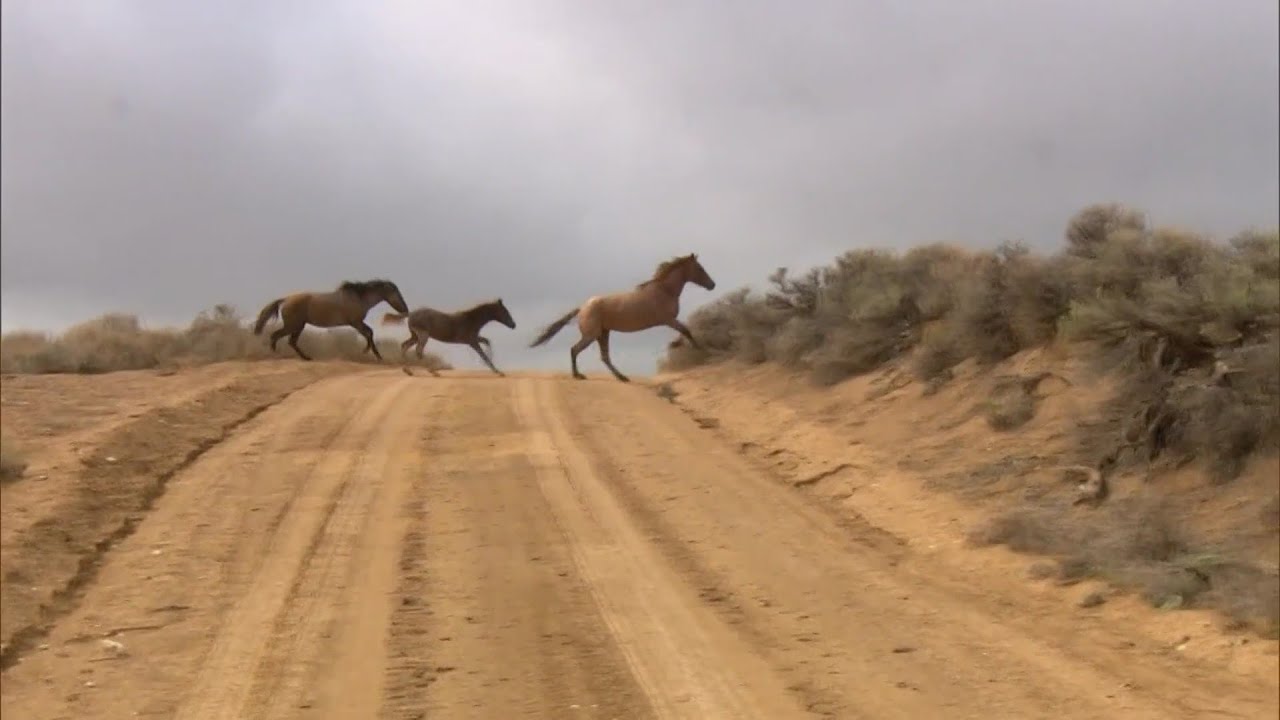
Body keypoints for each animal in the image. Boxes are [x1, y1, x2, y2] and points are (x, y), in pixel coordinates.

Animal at [252, 279, 409, 362]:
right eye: (396, 293)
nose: (405, 308)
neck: (359, 298)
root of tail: (286, 299)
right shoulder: (355, 323)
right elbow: (369, 333)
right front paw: (372, 353)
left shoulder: (357, 323)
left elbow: (369, 332)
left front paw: (371, 352)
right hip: (293, 325)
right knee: (276, 336)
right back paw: (276, 355)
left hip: (298, 326)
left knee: (291, 341)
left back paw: (306, 358)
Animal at [382, 298, 517, 376]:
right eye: (505, 312)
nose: (513, 325)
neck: (472, 320)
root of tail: (410, 314)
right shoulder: (471, 341)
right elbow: (483, 354)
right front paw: (498, 372)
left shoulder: (473, 338)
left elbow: (487, 342)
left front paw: (494, 368)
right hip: (423, 334)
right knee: (418, 350)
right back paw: (433, 371)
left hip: (415, 335)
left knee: (405, 345)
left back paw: (408, 371)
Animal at [528, 253, 716, 382]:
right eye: (700, 268)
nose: (712, 285)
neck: (664, 291)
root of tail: (582, 308)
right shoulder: (667, 320)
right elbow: (686, 330)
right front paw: (699, 350)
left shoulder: (668, 321)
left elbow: (684, 331)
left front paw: (679, 345)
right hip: (591, 335)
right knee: (575, 350)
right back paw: (578, 375)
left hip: (603, 334)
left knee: (604, 357)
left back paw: (622, 377)